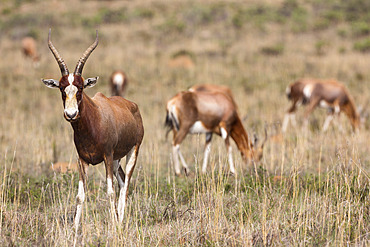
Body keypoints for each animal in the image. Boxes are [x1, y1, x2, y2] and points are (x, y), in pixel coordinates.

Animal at [41, 29, 144, 232]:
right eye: (62, 88)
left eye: (80, 87)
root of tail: (132, 105)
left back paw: (119, 222)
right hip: (116, 159)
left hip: (130, 152)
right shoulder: (82, 160)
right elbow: (80, 196)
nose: (71, 114)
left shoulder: (107, 156)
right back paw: (119, 219)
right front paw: (74, 231)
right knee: (122, 181)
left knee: (126, 184)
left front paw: (113, 229)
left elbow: (110, 192)